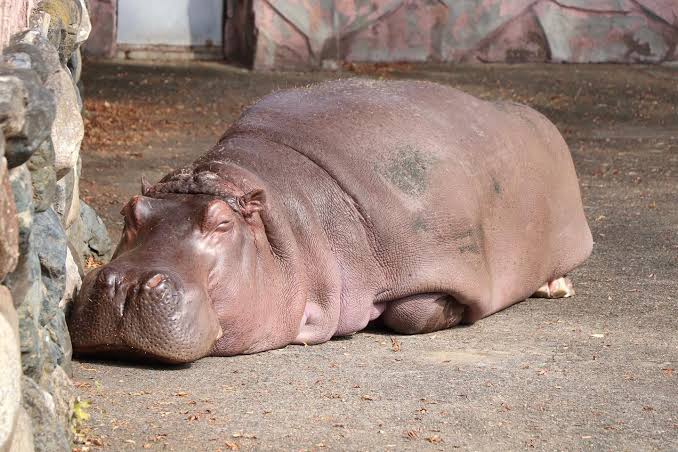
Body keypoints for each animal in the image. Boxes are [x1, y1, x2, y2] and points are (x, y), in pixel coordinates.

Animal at [68, 79, 592, 363]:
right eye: (129, 211)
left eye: (220, 224)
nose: (125, 285)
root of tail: (540, 120)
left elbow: (411, 313)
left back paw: (556, 288)